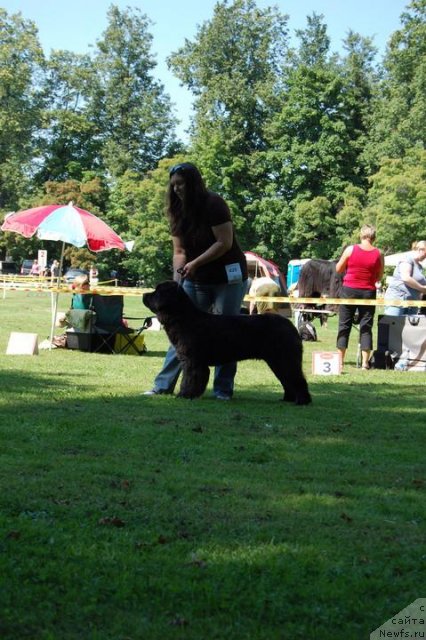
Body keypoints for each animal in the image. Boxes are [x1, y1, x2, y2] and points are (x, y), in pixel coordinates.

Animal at [141, 282, 312, 404]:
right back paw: (287, 399)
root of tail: (290, 326)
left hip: (284, 358)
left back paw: (302, 401)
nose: (144, 294)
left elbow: (189, 378)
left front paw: (184, 395)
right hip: (278, 361)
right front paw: (192, 394)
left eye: (157, 291)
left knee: (296, 378)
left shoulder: (192, 361)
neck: (183, 318)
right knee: (287, 379)